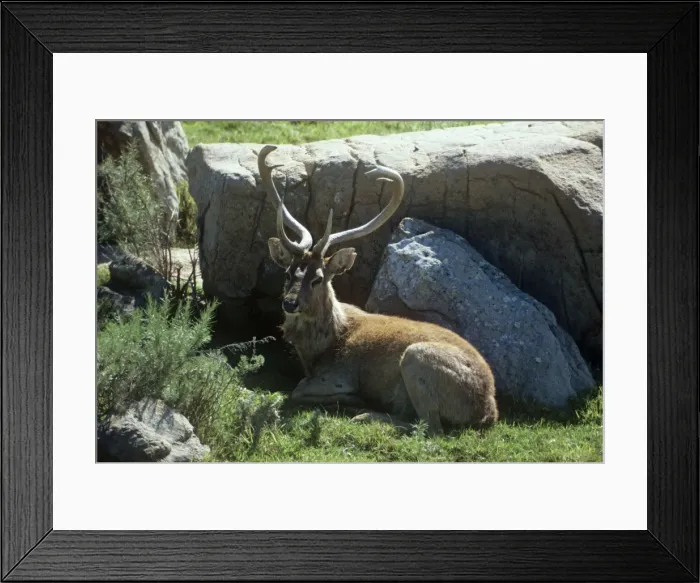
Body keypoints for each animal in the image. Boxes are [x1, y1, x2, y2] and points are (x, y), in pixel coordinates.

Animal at [258, 145, 499, 436]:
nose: (290, 303)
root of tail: (489, 412)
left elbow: (298, 389)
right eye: (288, 273)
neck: (319, 350)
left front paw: (351, 400)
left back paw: (367, 413)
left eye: (318, 279)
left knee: (431, 428)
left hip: (418, 359)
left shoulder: (340, 375)